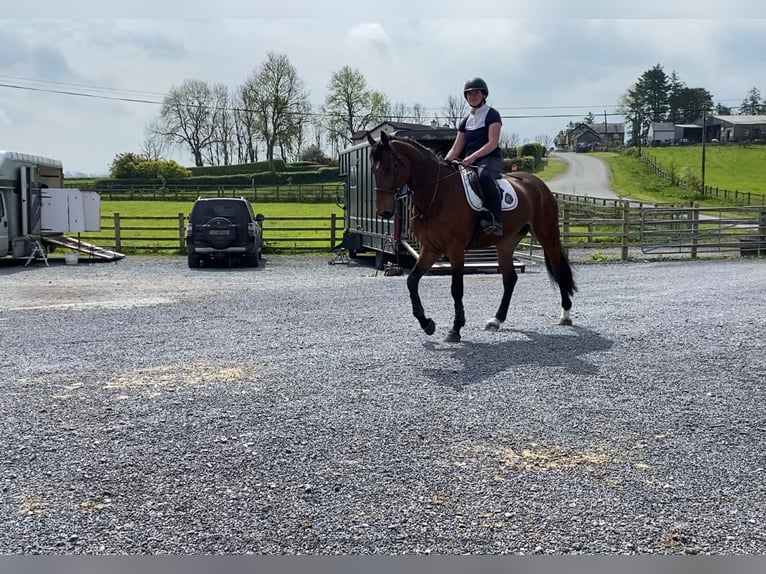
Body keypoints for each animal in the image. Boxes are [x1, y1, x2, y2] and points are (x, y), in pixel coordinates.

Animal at [368, 132, 576, 342]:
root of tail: (538, 185)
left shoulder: (456, 249)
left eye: (388, 168)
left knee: (558, 269)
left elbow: (456, 288)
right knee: (510, 279)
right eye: (373, 171)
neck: (439, 193)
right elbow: (412, 281)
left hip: (546, 234)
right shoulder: (430, 249)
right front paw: (427, 324)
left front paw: (455, 329)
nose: (384, 212)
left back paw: (565, 315)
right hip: (506, 244)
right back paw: (496, 319)